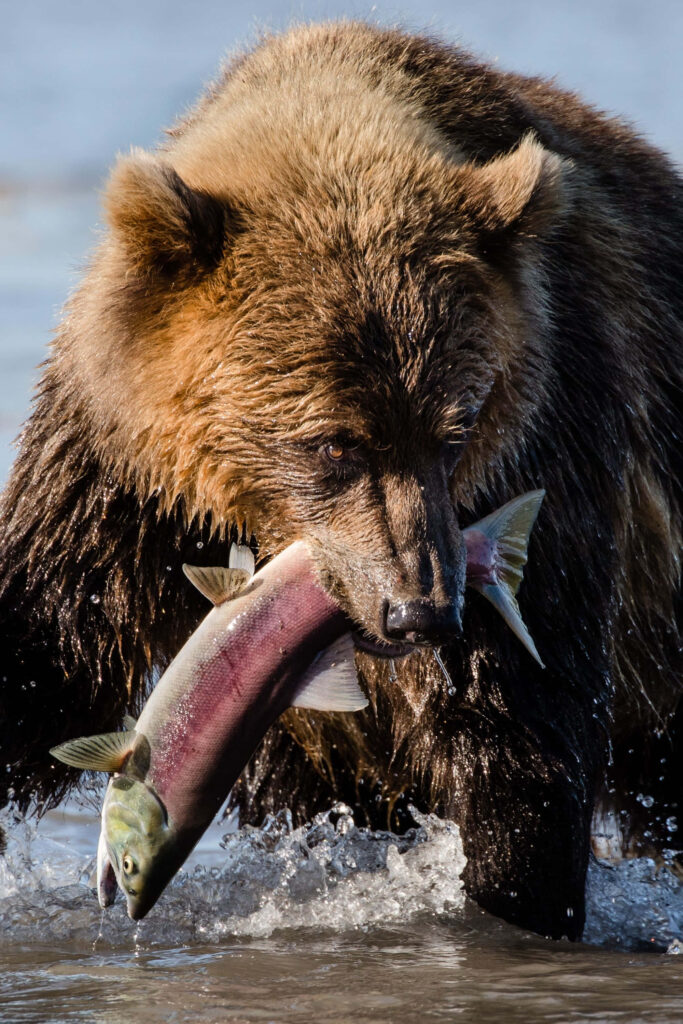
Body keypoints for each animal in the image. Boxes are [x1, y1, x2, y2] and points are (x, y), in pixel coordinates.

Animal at [0, 21, 680, 941]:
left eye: (457, 427)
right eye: (333, 443)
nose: (419, 609)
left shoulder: (554, 428)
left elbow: (520, 739)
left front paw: (507, 900)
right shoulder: (117, 476)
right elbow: (46, 649)